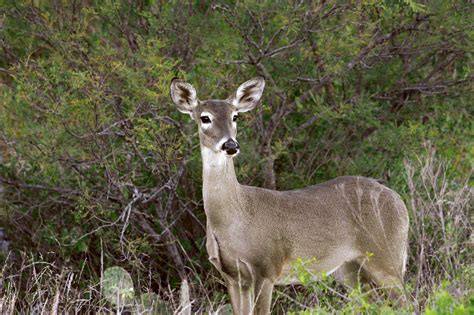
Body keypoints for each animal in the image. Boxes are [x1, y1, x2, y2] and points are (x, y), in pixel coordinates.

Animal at [170, 77, 412, 315]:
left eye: (235, 116)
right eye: (205, 118)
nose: (230, 145)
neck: (235, 217)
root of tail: (399, 201)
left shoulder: (266, 268)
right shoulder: (232, 276)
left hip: (387, 254)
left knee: (407, 303)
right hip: (349, 267)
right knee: (374, 303)